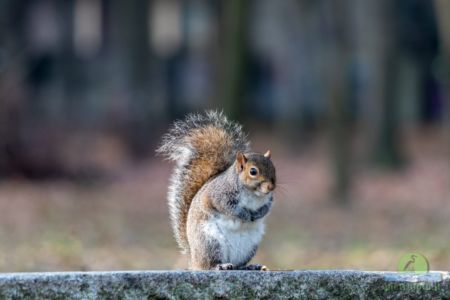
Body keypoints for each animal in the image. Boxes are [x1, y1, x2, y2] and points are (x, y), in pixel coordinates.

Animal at [156, 111, 276, 270]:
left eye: (274, 169)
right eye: (253, 171)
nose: (271, 187)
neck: (253, 194)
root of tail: (193, 260)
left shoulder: (268, 199)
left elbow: (267, 208)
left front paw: (258, 214)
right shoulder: (220, 195)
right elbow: (227, 207)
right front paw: (244, 214)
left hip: (249, 247)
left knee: (238, 265)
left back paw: (249, 266)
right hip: (210, 242)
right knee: (208, 264)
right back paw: (220, 266)